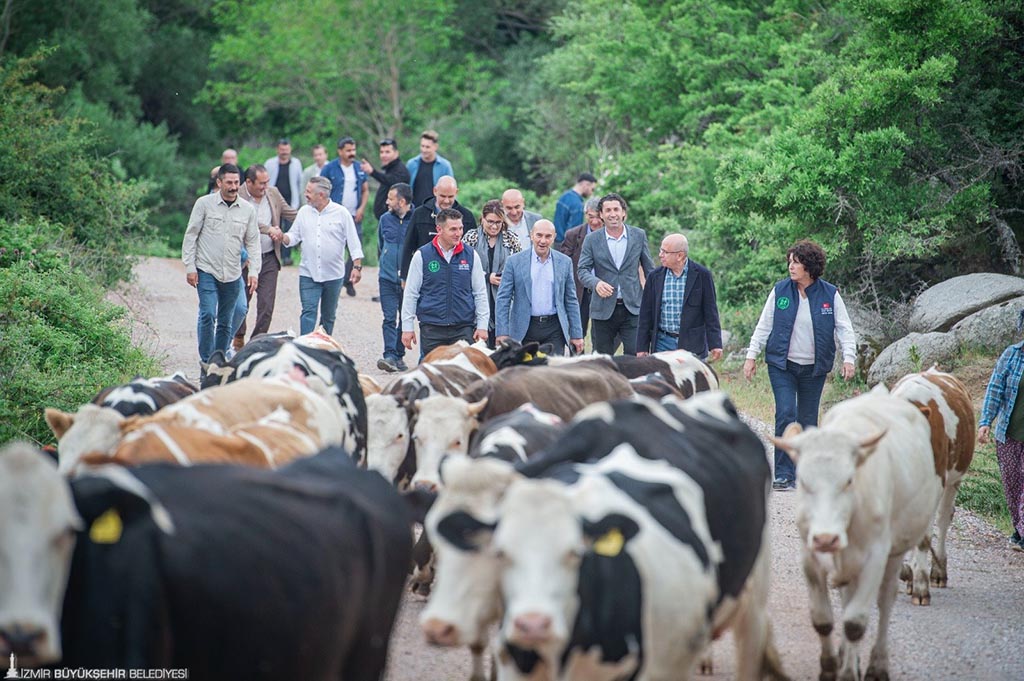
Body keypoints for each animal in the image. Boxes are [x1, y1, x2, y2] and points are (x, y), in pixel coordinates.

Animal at [770, 382, 942, 679]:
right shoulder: (809, 556)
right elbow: (823, 619)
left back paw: (877, 665)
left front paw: (849, 672)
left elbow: (855, 624)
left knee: (884, 602)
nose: (826, 538)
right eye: (803, 480)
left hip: (894, 553)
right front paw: (830, 666)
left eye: (849, 480)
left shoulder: (875, 556)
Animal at [888, 366, 974, 602]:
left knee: (943, 518)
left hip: (953, 479)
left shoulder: (934, 485)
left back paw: (938, 572)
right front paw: (907, 573)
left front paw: (919, 584)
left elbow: (924, 537)